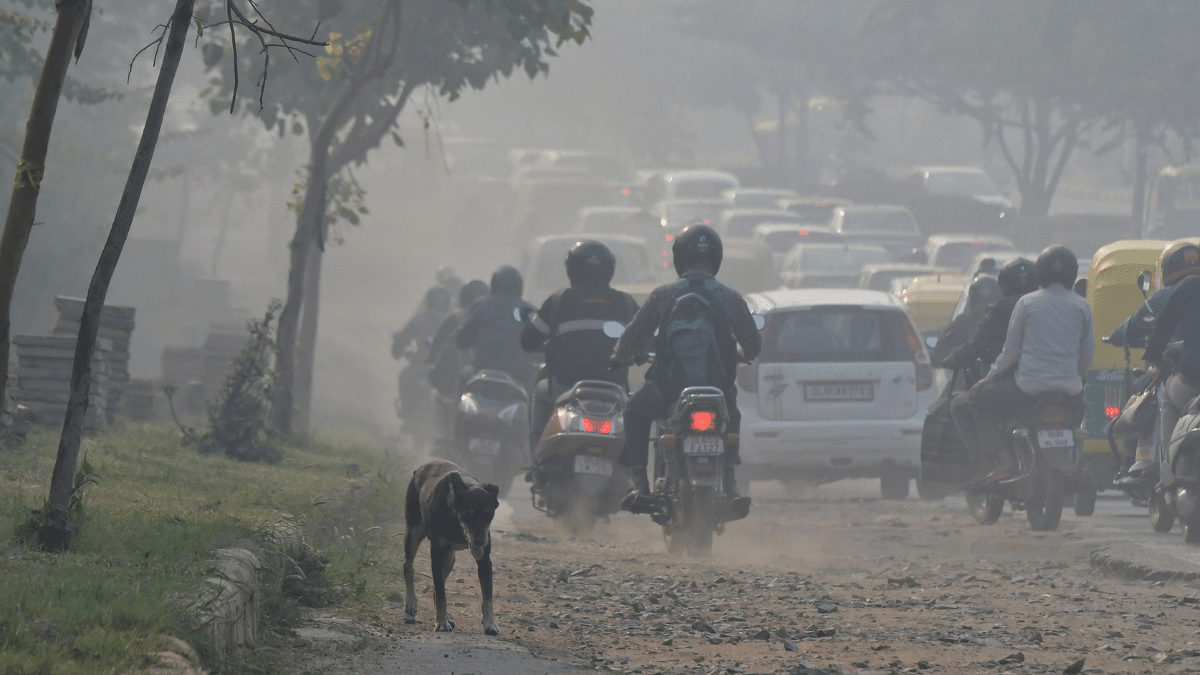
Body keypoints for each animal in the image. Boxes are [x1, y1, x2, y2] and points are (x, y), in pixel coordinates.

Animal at [400, 456, 499, 629]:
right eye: (468, 513)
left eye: (489, 514)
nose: (480, 541)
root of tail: (419, 469)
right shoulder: (436, 553)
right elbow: (441, 593)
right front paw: (441, 622)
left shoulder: (485, 560)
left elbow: (487, 596)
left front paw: (490, 624)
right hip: (414, 533)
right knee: (409, 566)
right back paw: (411, 603)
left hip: (449, 557)